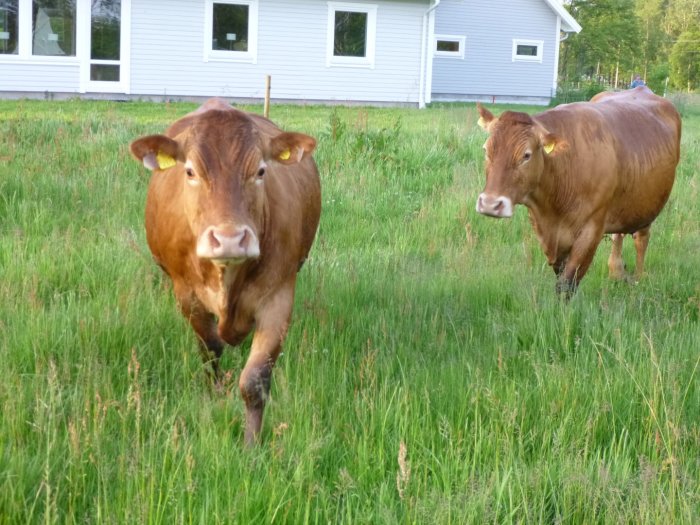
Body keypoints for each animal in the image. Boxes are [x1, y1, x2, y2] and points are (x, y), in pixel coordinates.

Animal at [130, 97, 322, 442]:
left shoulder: (278, 298)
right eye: (190, 171)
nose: (230, 239)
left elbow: (255, 381)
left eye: (260, 171)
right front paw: (215, 395)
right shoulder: (188, 296)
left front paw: (252, 443)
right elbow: (210, 352)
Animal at [474, 88, 680, 296]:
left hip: (648, 204)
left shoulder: (591, 230)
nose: (490, 204)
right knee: (618, 236)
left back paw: (638, 280)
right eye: (485, 150)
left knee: (641, 240)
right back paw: (616, 271)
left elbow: (567, 283)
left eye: (526, 155)